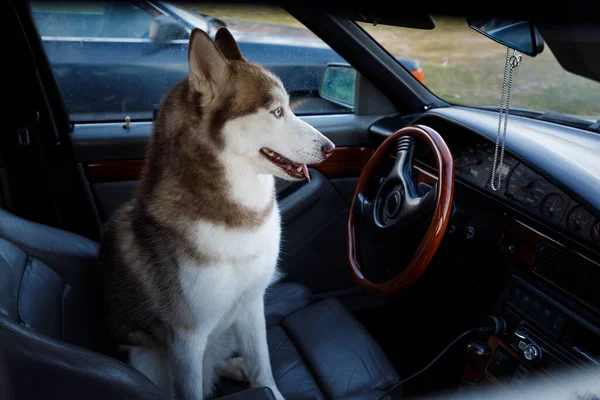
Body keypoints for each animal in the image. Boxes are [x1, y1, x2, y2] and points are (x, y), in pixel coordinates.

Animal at [96, 25, 336, 400]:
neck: (239, 215)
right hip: (147, 359)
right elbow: (191, 388)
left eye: (289, 107)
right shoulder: (187, 338)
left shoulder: (253, 302)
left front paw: (267, 386)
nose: (331, 148)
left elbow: (262, 366)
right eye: (277, 112)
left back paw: (233, 366)